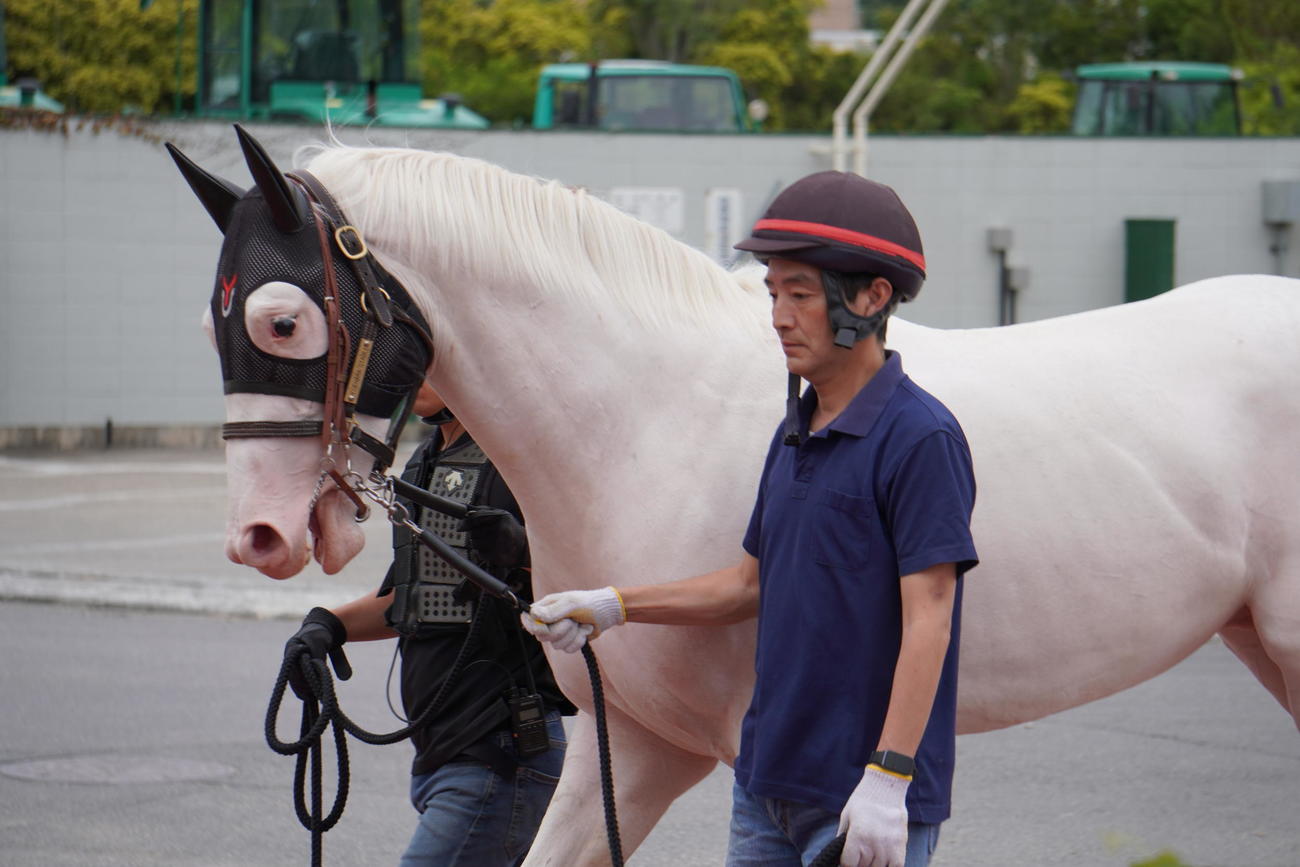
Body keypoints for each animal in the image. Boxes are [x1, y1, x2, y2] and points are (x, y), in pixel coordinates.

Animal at [170, 129, 1300, 866]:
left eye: (280, 320)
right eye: (211, 323)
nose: (259, 536)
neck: (641, 413)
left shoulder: (721, 760)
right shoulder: (632, 745)